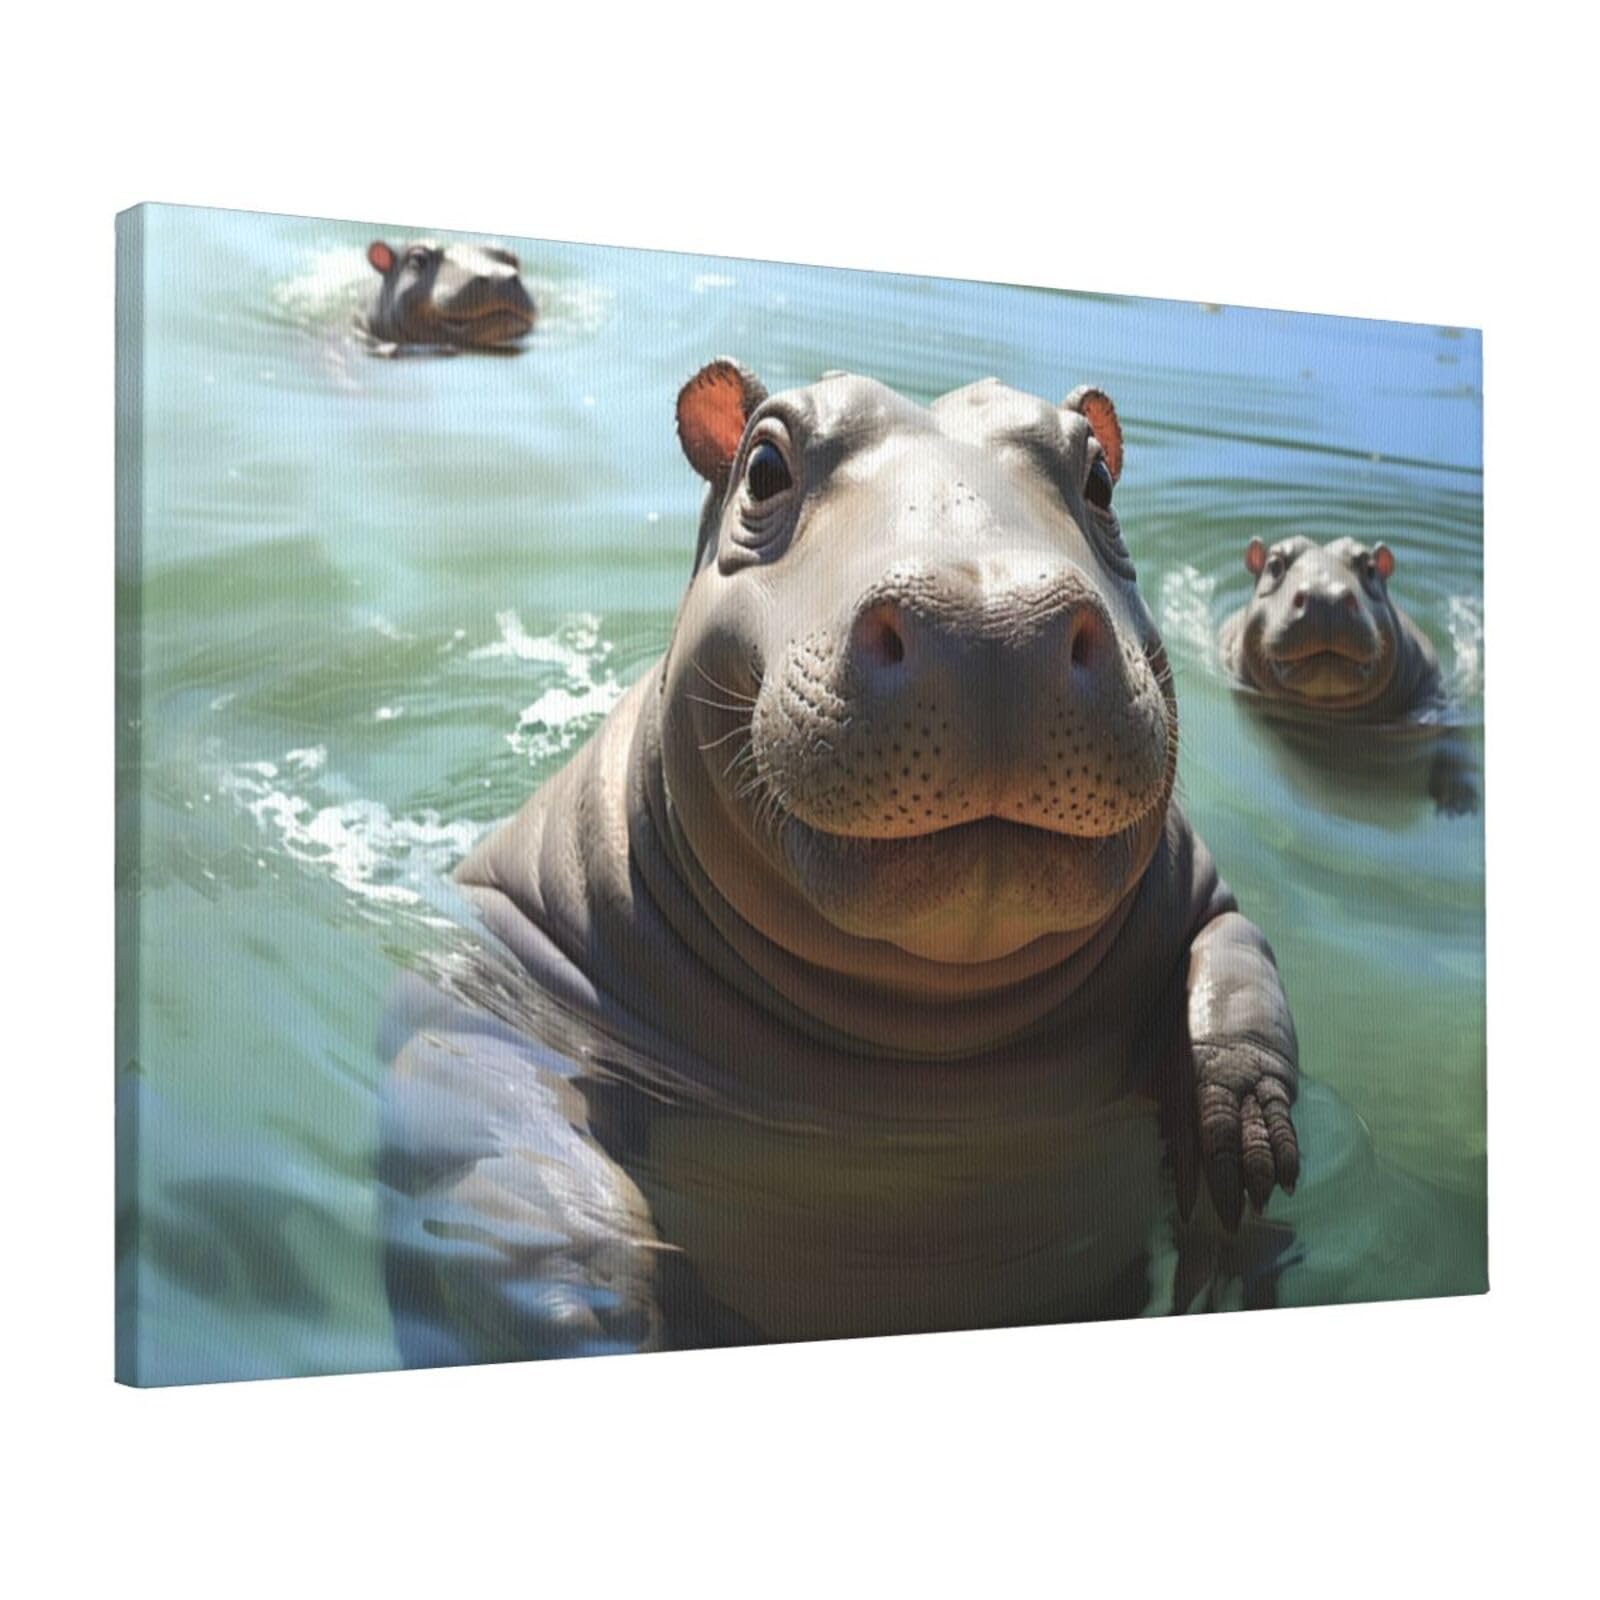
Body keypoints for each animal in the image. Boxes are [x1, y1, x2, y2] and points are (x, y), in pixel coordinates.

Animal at [381, 363, 1302, 1364]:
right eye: (765, 467)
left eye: (1099, 482)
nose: (997, 624)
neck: (926, 1040)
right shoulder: (497, 956)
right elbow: (491, 1120)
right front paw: (591, 1309)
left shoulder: (1206, 897)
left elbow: (1237, 971)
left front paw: (1247, 1143)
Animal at [1218, 536, 1479, 814]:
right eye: (1275, 565)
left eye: (1370, 568)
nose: (1325, 598)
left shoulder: (1438, 699)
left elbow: (1455, 737)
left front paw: (1459, 802)